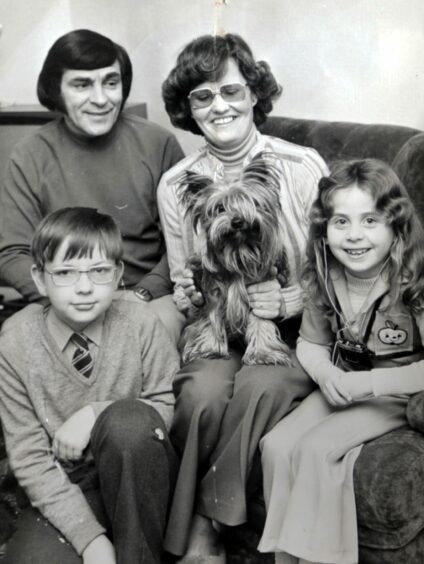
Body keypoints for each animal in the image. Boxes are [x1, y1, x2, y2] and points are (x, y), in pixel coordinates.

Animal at [177, 153, 294, 366]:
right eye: (220, 208)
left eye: (251, 202)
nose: (238, 221)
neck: (238, 251)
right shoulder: (212, 293)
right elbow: (210, 318)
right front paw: (209, 349)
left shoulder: (260, 293)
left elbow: (261, 321)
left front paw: (262, 353)